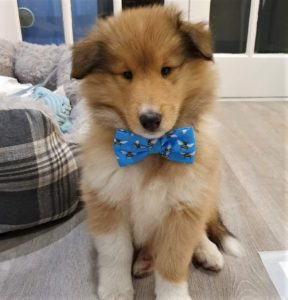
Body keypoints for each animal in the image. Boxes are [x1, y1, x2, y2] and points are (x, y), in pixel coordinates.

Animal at [71, 5, 241, 300]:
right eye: (126, 74)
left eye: (166, 70)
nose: (150, 119)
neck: (151, 150)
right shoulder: (108, 203)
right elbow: (115, 253)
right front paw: (116, 289)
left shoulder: (183, 208)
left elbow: (173, 262)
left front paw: (173, 295)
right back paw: (144, 261)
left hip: (202, 197)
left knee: (200, 231)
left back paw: (207, 252)